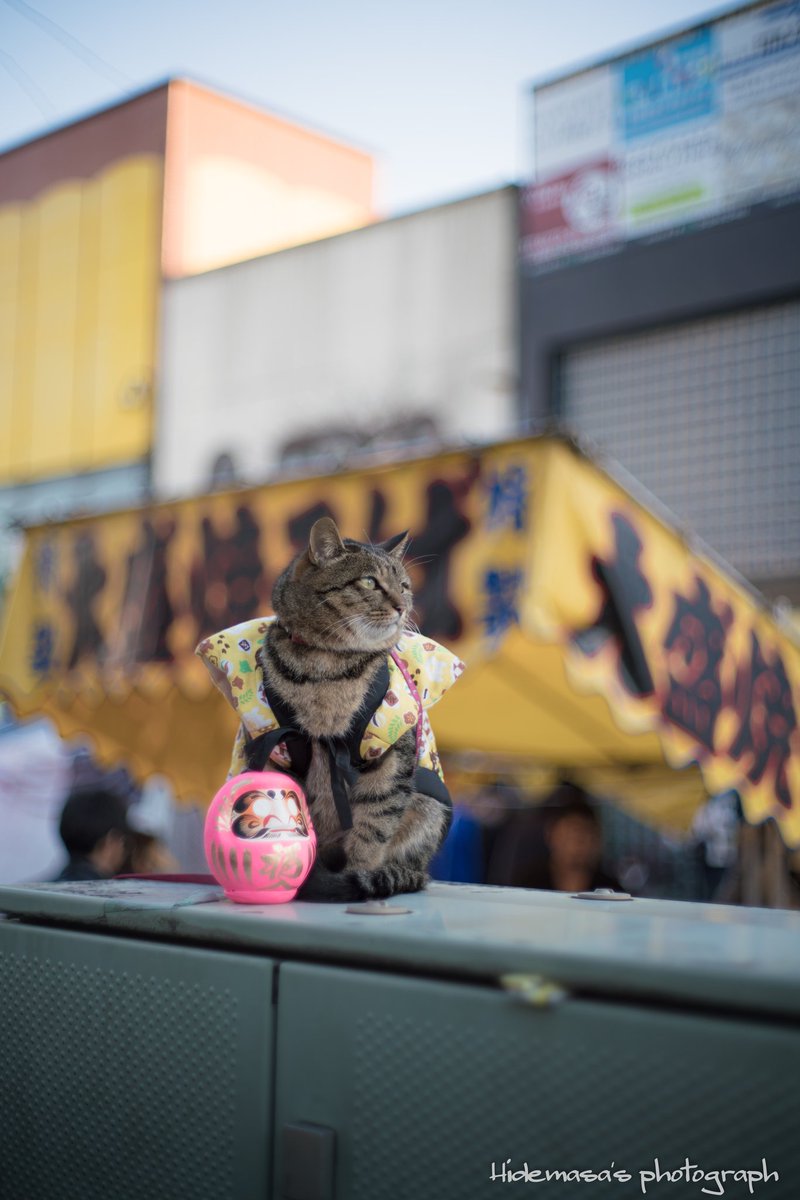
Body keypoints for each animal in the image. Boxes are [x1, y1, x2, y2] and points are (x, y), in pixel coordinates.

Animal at [242, 516, 456, 902]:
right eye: (370, 582)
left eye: (404, 586)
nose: (402, 606)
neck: (327, 665)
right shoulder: (276, 751)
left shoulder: (390, 756)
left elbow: (373, 827)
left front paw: (357, 875)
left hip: (429, 806)